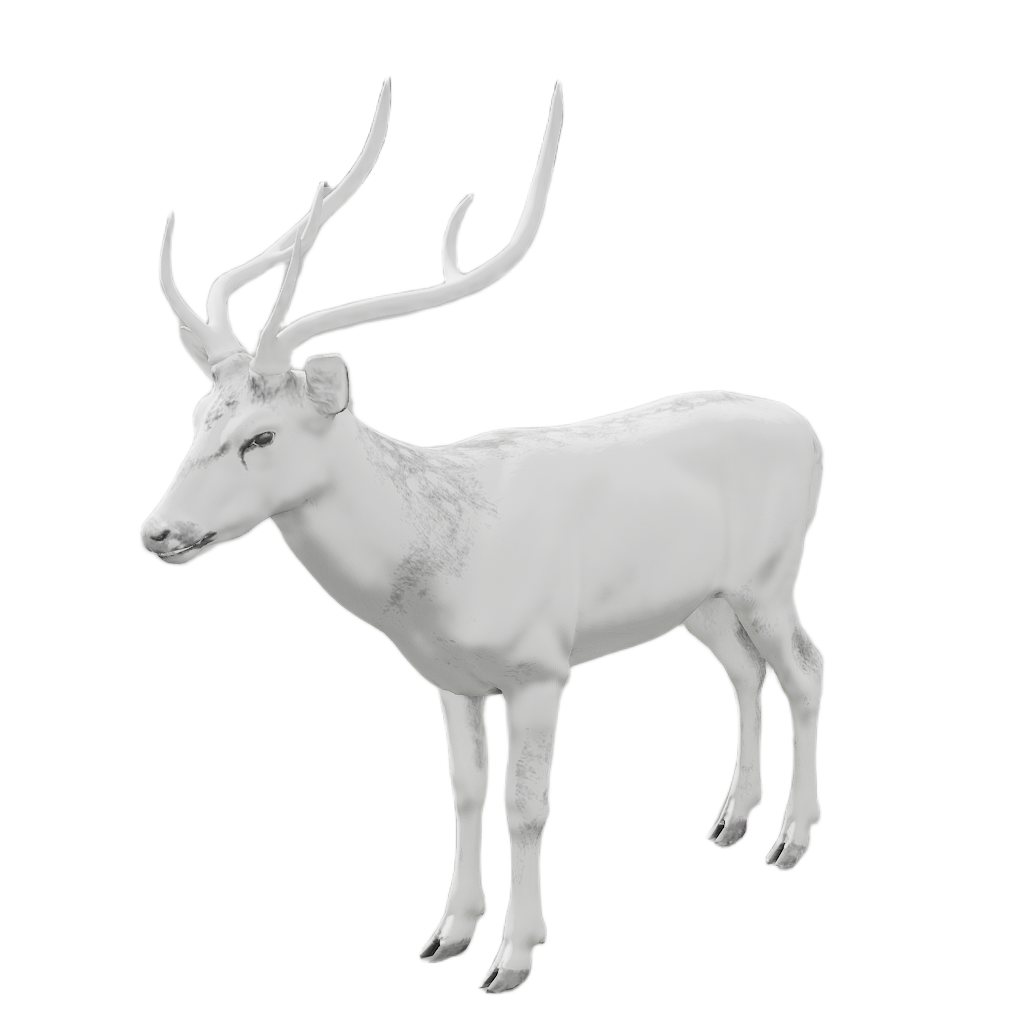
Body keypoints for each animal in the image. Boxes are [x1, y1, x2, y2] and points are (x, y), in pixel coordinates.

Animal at [140, 77, 826, 996]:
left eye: (262, 436)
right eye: (195, 419)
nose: (159, 532)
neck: (436, 570)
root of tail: (809, 428)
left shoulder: (541, 666)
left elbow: (527, 806)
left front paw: (513, 956)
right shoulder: (449, 678)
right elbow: (465, 792)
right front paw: (446, 934)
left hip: (771, 572)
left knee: (806, 669)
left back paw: (790, 839)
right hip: (700, 600)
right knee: (746, 672)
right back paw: (729, 821)